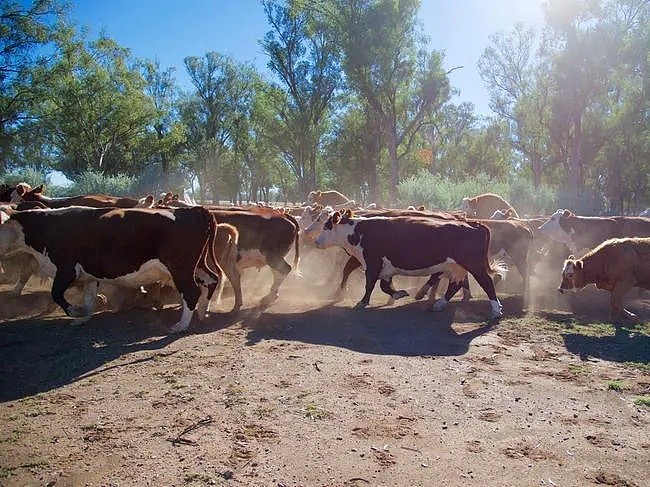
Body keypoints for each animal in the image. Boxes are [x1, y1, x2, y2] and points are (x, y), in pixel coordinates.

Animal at [0, 204, 221, 334]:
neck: (47, 226)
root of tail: (193, 210)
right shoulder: (89, 276)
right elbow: (89, 298)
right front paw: (83, 317)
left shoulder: (66, 269)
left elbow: (57, 294)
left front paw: (75, 311)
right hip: (197, 266)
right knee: (211, 280)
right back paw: (202, 313)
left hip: (180, 269)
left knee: (191, 292)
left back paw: (180, 326)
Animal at [312, 211, 504, 318]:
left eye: (327, 226)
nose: (316, 242)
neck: (359, 231)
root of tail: (474, 224)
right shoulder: (385, 269)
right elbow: (384, 286)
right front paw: (399, 294)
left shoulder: (373, 263)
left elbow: (370, 285)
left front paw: (362, 302)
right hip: (457, 268)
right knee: (454, 286)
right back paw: (439, 305)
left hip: (474, 266)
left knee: (487, 283)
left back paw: (496, 311)